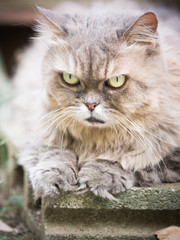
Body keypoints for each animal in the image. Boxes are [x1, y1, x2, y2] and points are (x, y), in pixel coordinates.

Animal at [13, 0, 180, 201]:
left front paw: (100, 175)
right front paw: (55, 175)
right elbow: (53, 151)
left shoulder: (169, 155)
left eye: (116, 81)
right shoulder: (39, 124)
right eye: (70, 78)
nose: (90, 105)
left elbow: (127, 159)